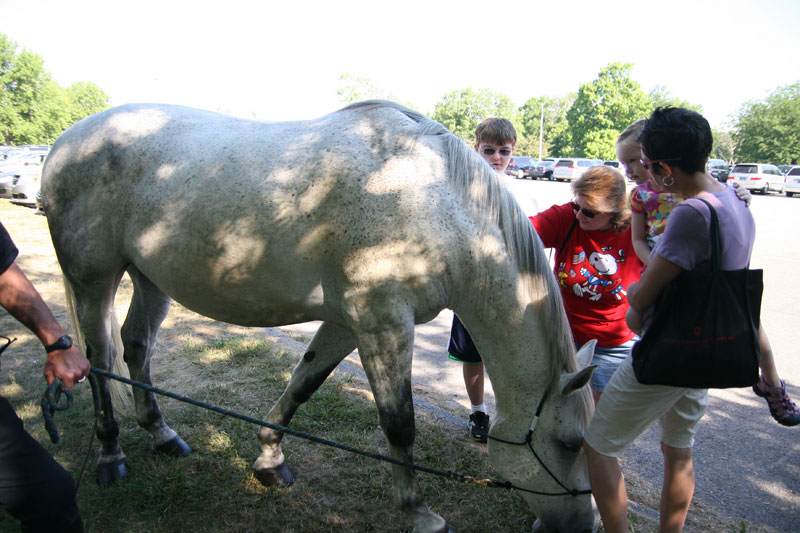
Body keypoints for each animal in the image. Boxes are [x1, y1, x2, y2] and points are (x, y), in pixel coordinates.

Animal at [40, 101, 596, 532]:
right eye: (570, 443)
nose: (585, 523)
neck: (431, 201)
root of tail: (64, 143)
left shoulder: (349, 323)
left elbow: (302, 384)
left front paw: (270, 460)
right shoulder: (383, 323)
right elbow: (400, 423)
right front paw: (418, 511)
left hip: (151, 278)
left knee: (136, 347)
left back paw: (162, 435)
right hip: (94, 280)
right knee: (98, 358)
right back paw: (111, 456)